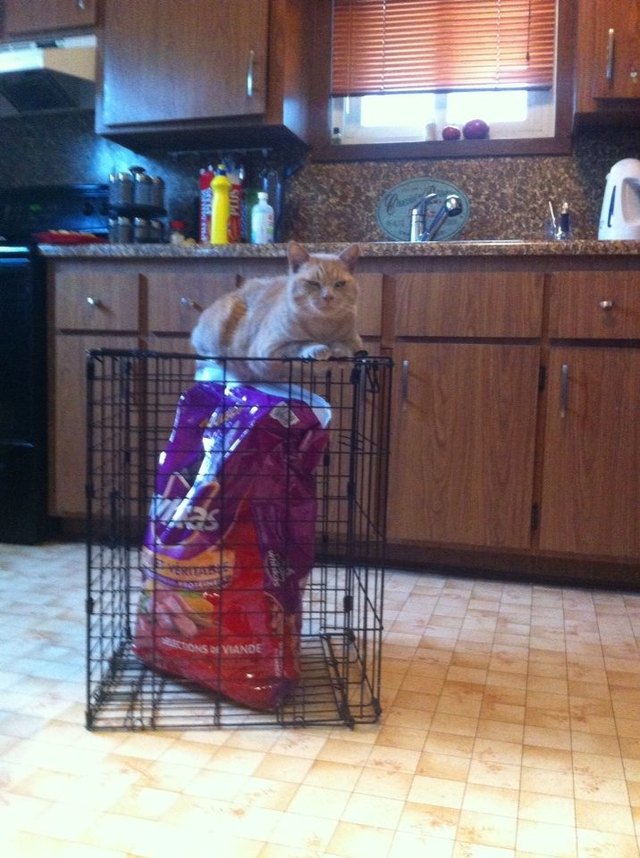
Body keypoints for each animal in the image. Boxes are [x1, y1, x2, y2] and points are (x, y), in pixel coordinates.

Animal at [190, 237, 362, 378]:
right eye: (313, 283)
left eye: (339, 284)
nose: (328, 297)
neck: (323, 327)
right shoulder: (268, 349)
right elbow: (299, 344)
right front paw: (318, 348)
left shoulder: (356, 341)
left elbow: (346, 345)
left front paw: (338, 350)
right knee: (201, 350)